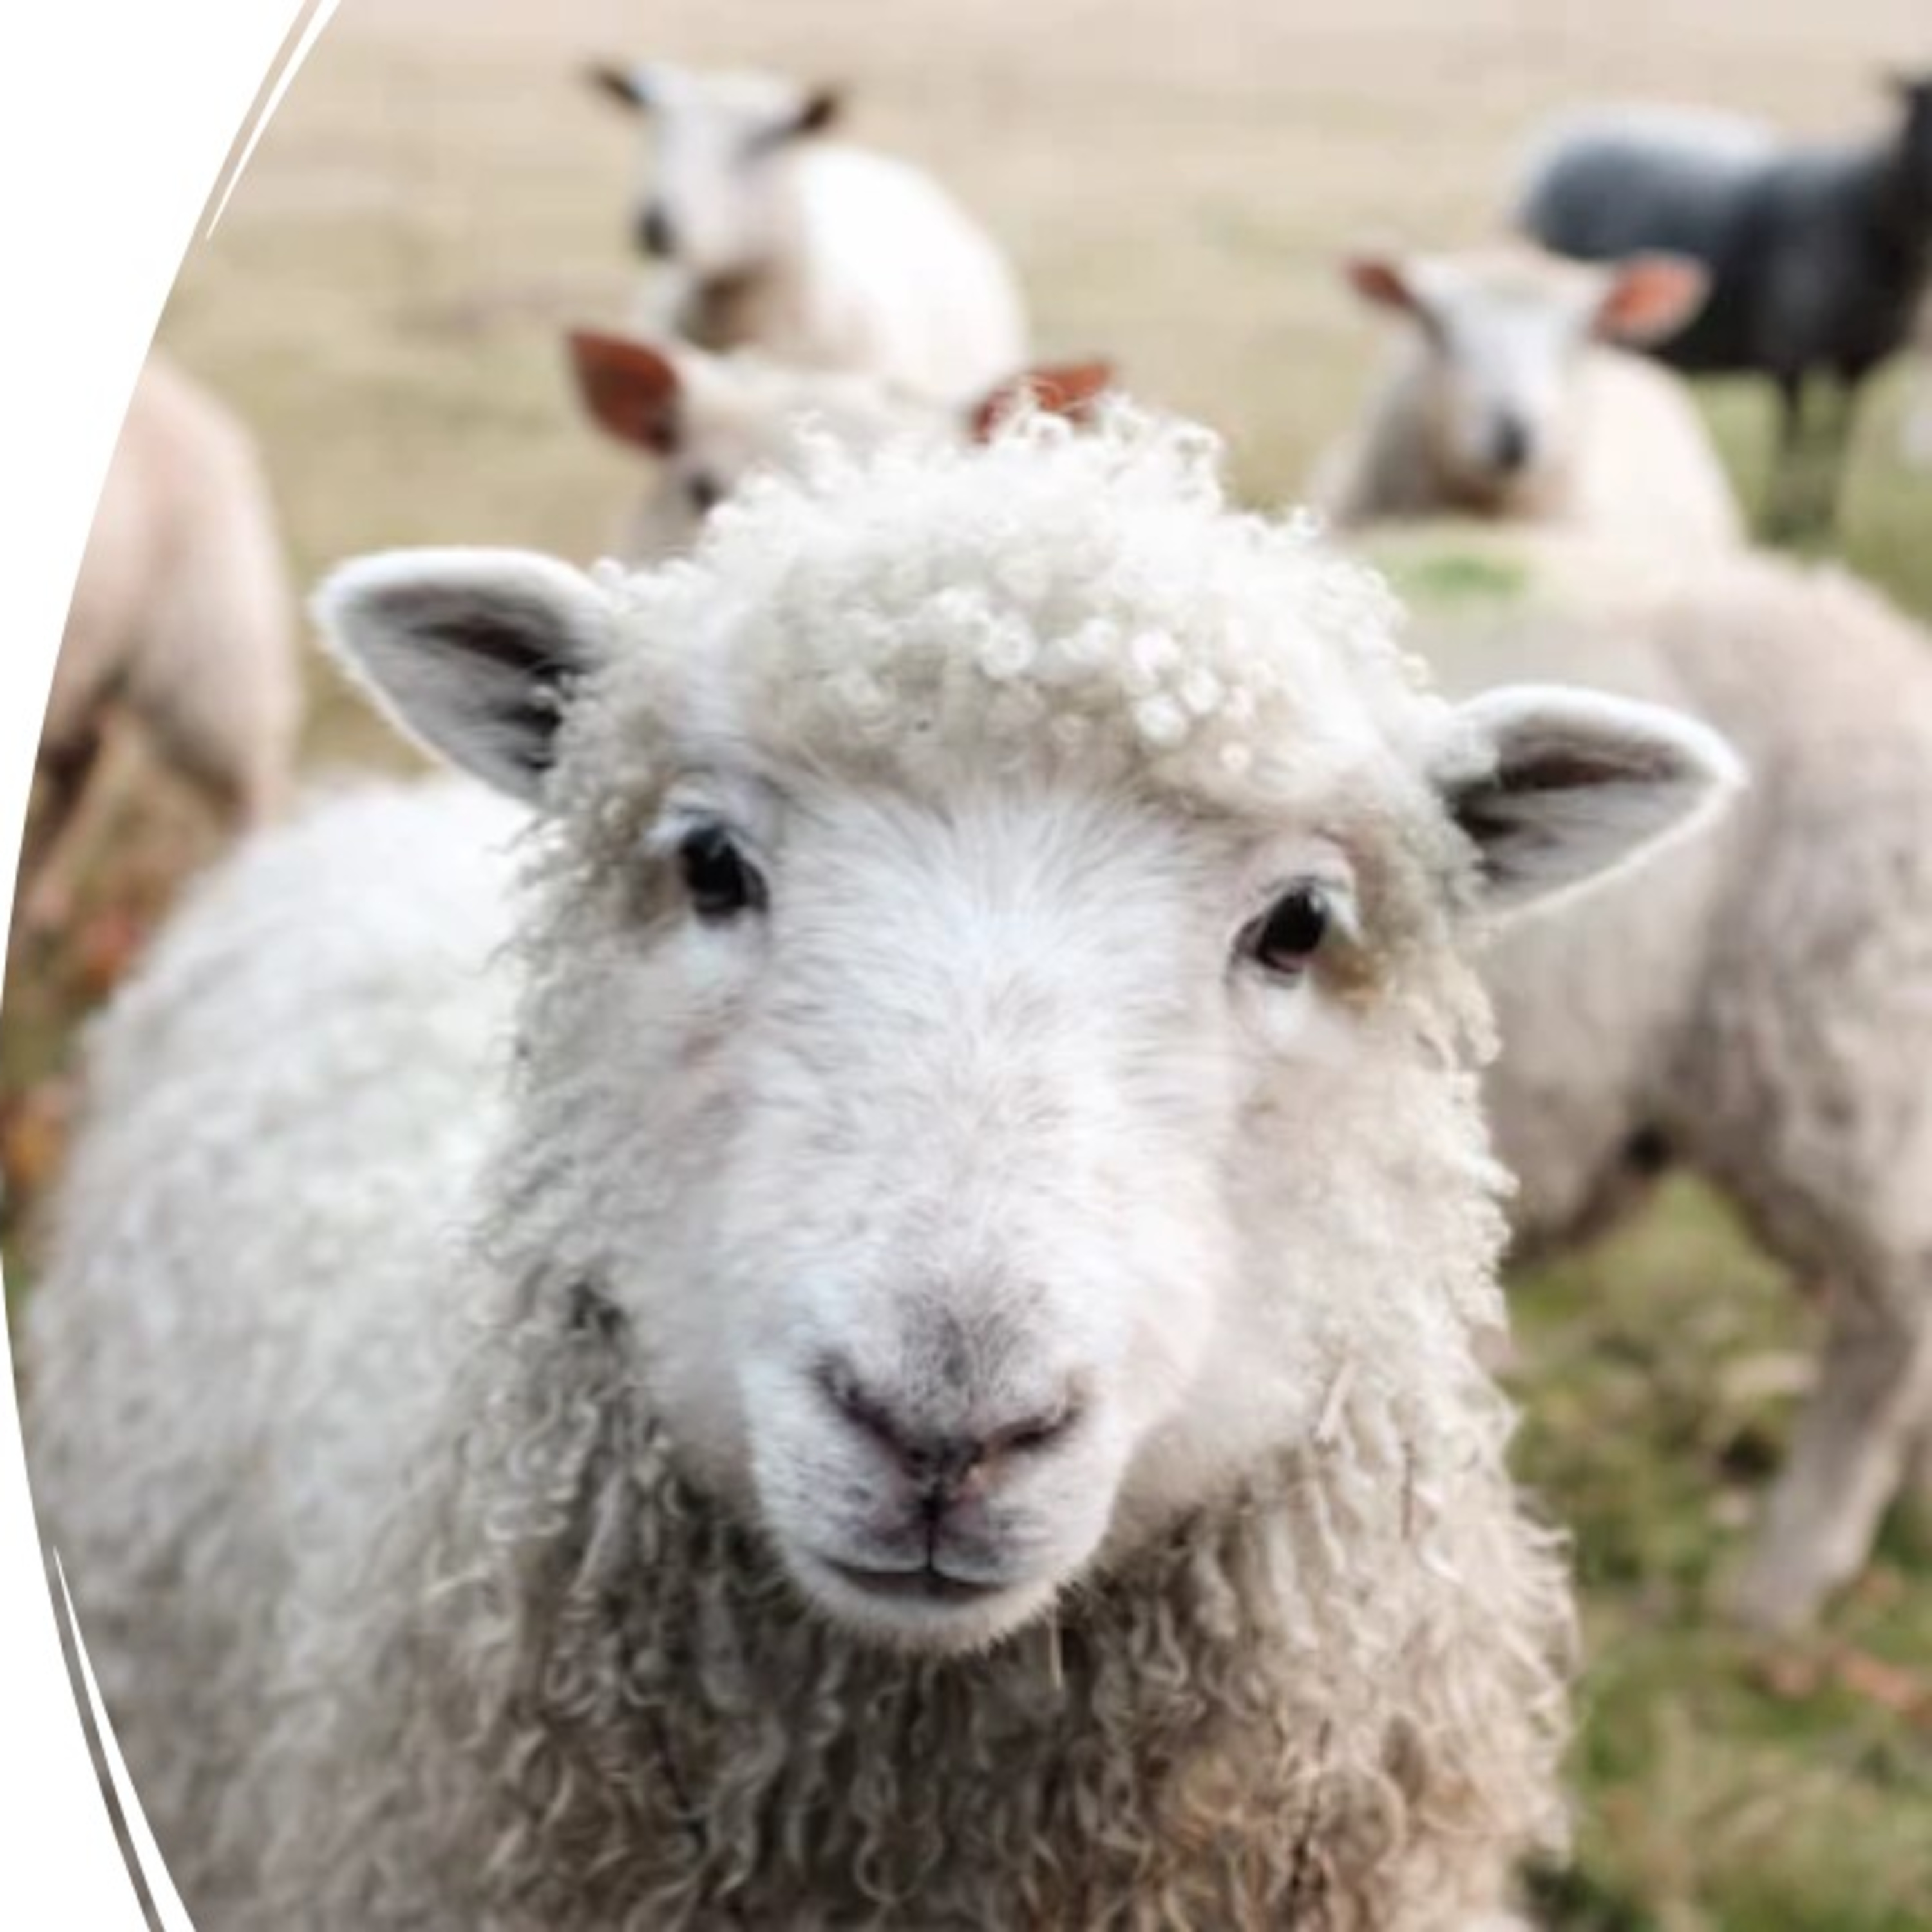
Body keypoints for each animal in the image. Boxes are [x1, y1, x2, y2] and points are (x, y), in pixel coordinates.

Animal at [1516, 76, 1932, 537]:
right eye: (1921, 114)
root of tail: (1550, 145)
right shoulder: (1791, 354)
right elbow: (1794, 439)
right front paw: (1784, 521)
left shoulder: (1857, 364)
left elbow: (1834, 440)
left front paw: (1822, 520)